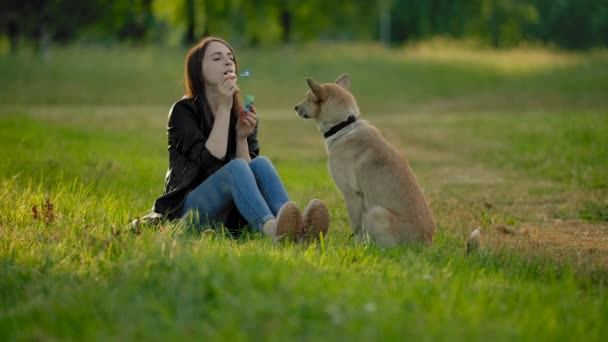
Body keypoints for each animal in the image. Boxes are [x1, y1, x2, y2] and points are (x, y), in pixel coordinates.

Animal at [296, 74, 434, 246]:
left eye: (308, 98)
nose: (295, 107)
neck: (343, 126)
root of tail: (426, 242)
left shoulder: (351, 194)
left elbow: (356, 228)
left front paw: (354, 246)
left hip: (375, 212)